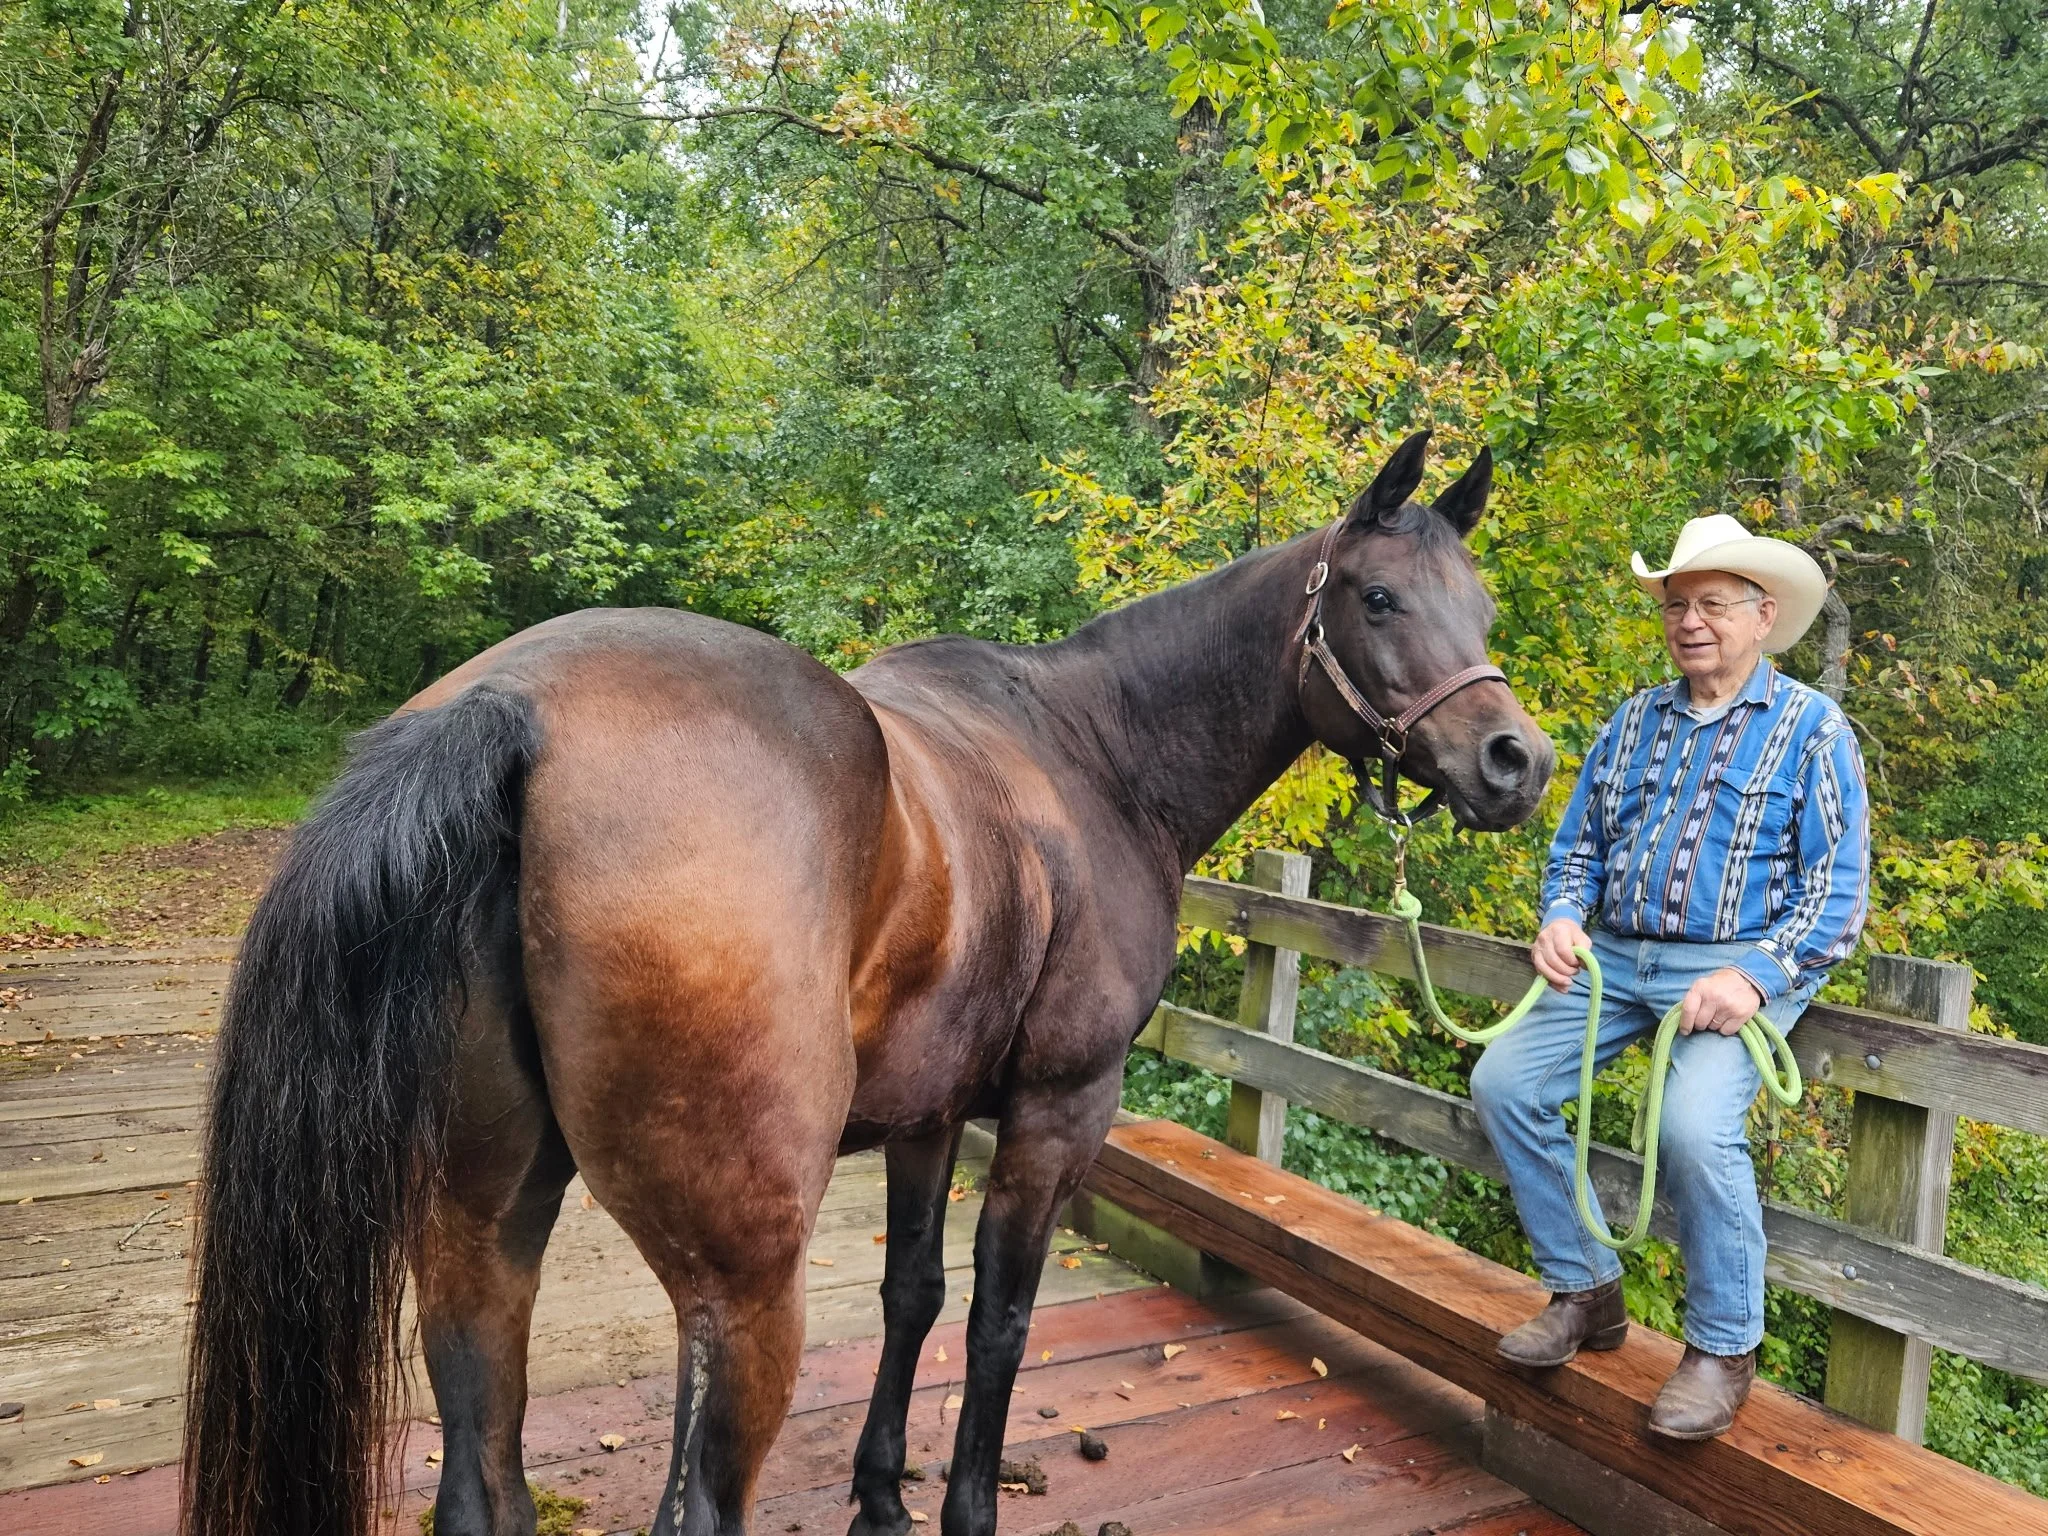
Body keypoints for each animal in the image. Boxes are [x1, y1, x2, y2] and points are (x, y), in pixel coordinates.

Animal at [180, 430, 1554, 1536]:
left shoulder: (927, 1116)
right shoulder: (1057, 1112)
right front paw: (960, 1509)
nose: (1514, 761)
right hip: (739, 1293)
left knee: (485, 1477)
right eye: (1376, 596)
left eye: (1479, 604)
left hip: (480, 1226)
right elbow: (997, 1320)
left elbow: (912, 1294)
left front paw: (881, 1492)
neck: (1096, 755)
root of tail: (517, 705)